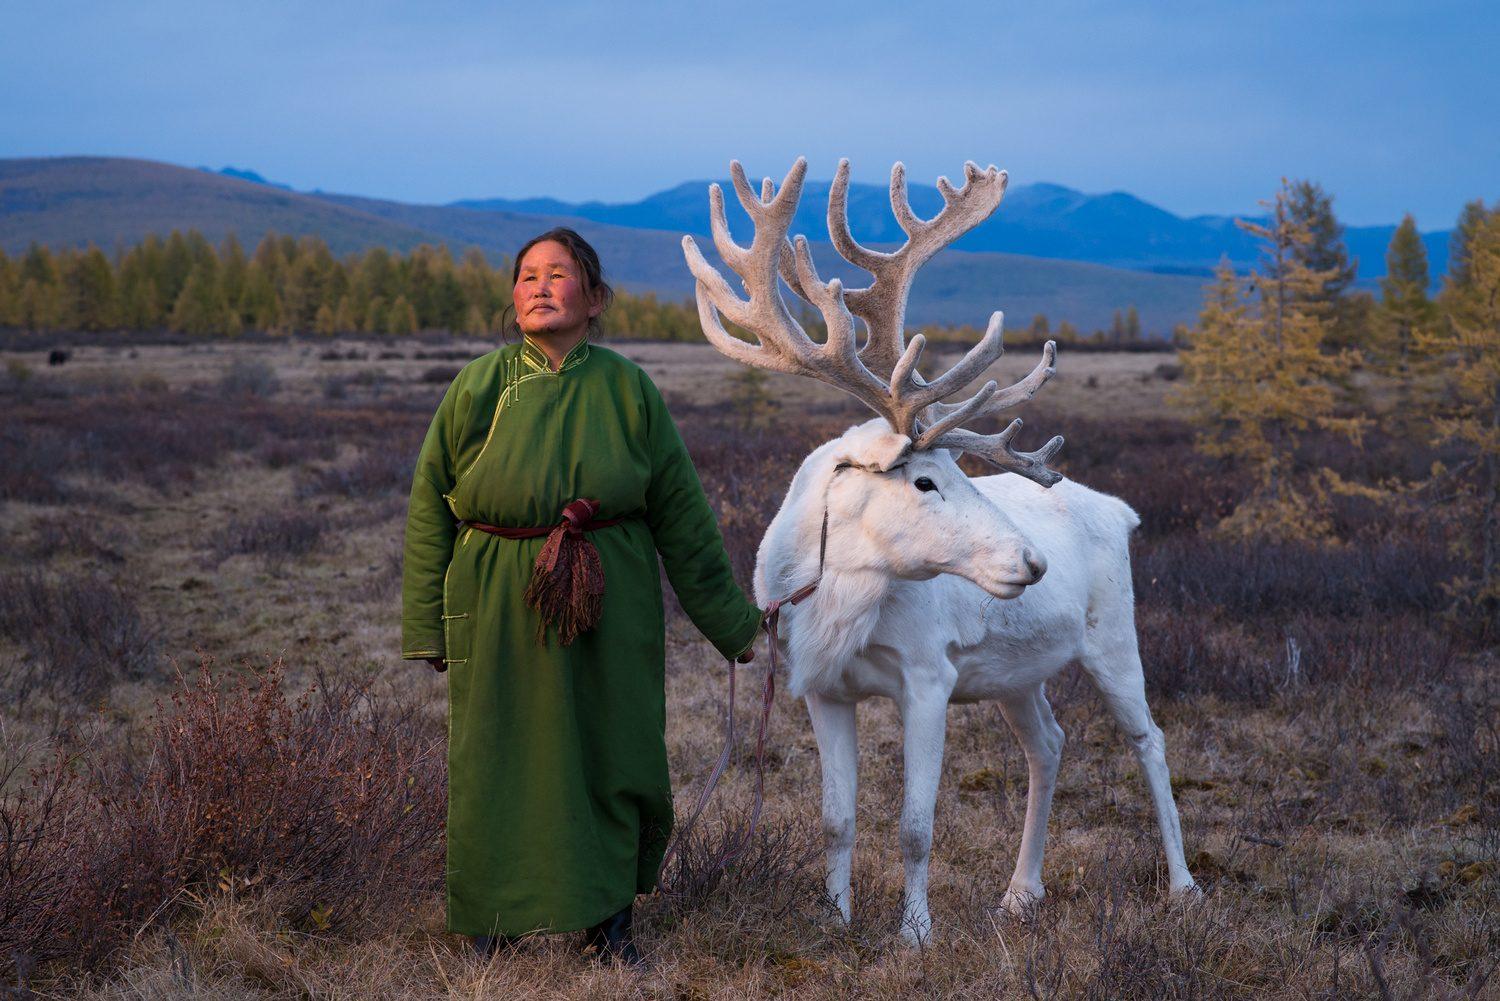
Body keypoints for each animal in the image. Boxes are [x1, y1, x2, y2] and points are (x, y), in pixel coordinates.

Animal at [680, 158, 1198, 945]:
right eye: (925, 479)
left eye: (958, 472)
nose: (1032, 563)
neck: (839, 595)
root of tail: (1123, 510)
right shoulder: (822, 687)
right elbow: (836, 819)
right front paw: (834, 919)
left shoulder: (929, 677)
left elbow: (915, 825)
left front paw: (915, 933)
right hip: (1016, 674)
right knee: (1049, 742)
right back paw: (1021, 892)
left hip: (1114, 637)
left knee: (1151, 739)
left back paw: (1183, 886)